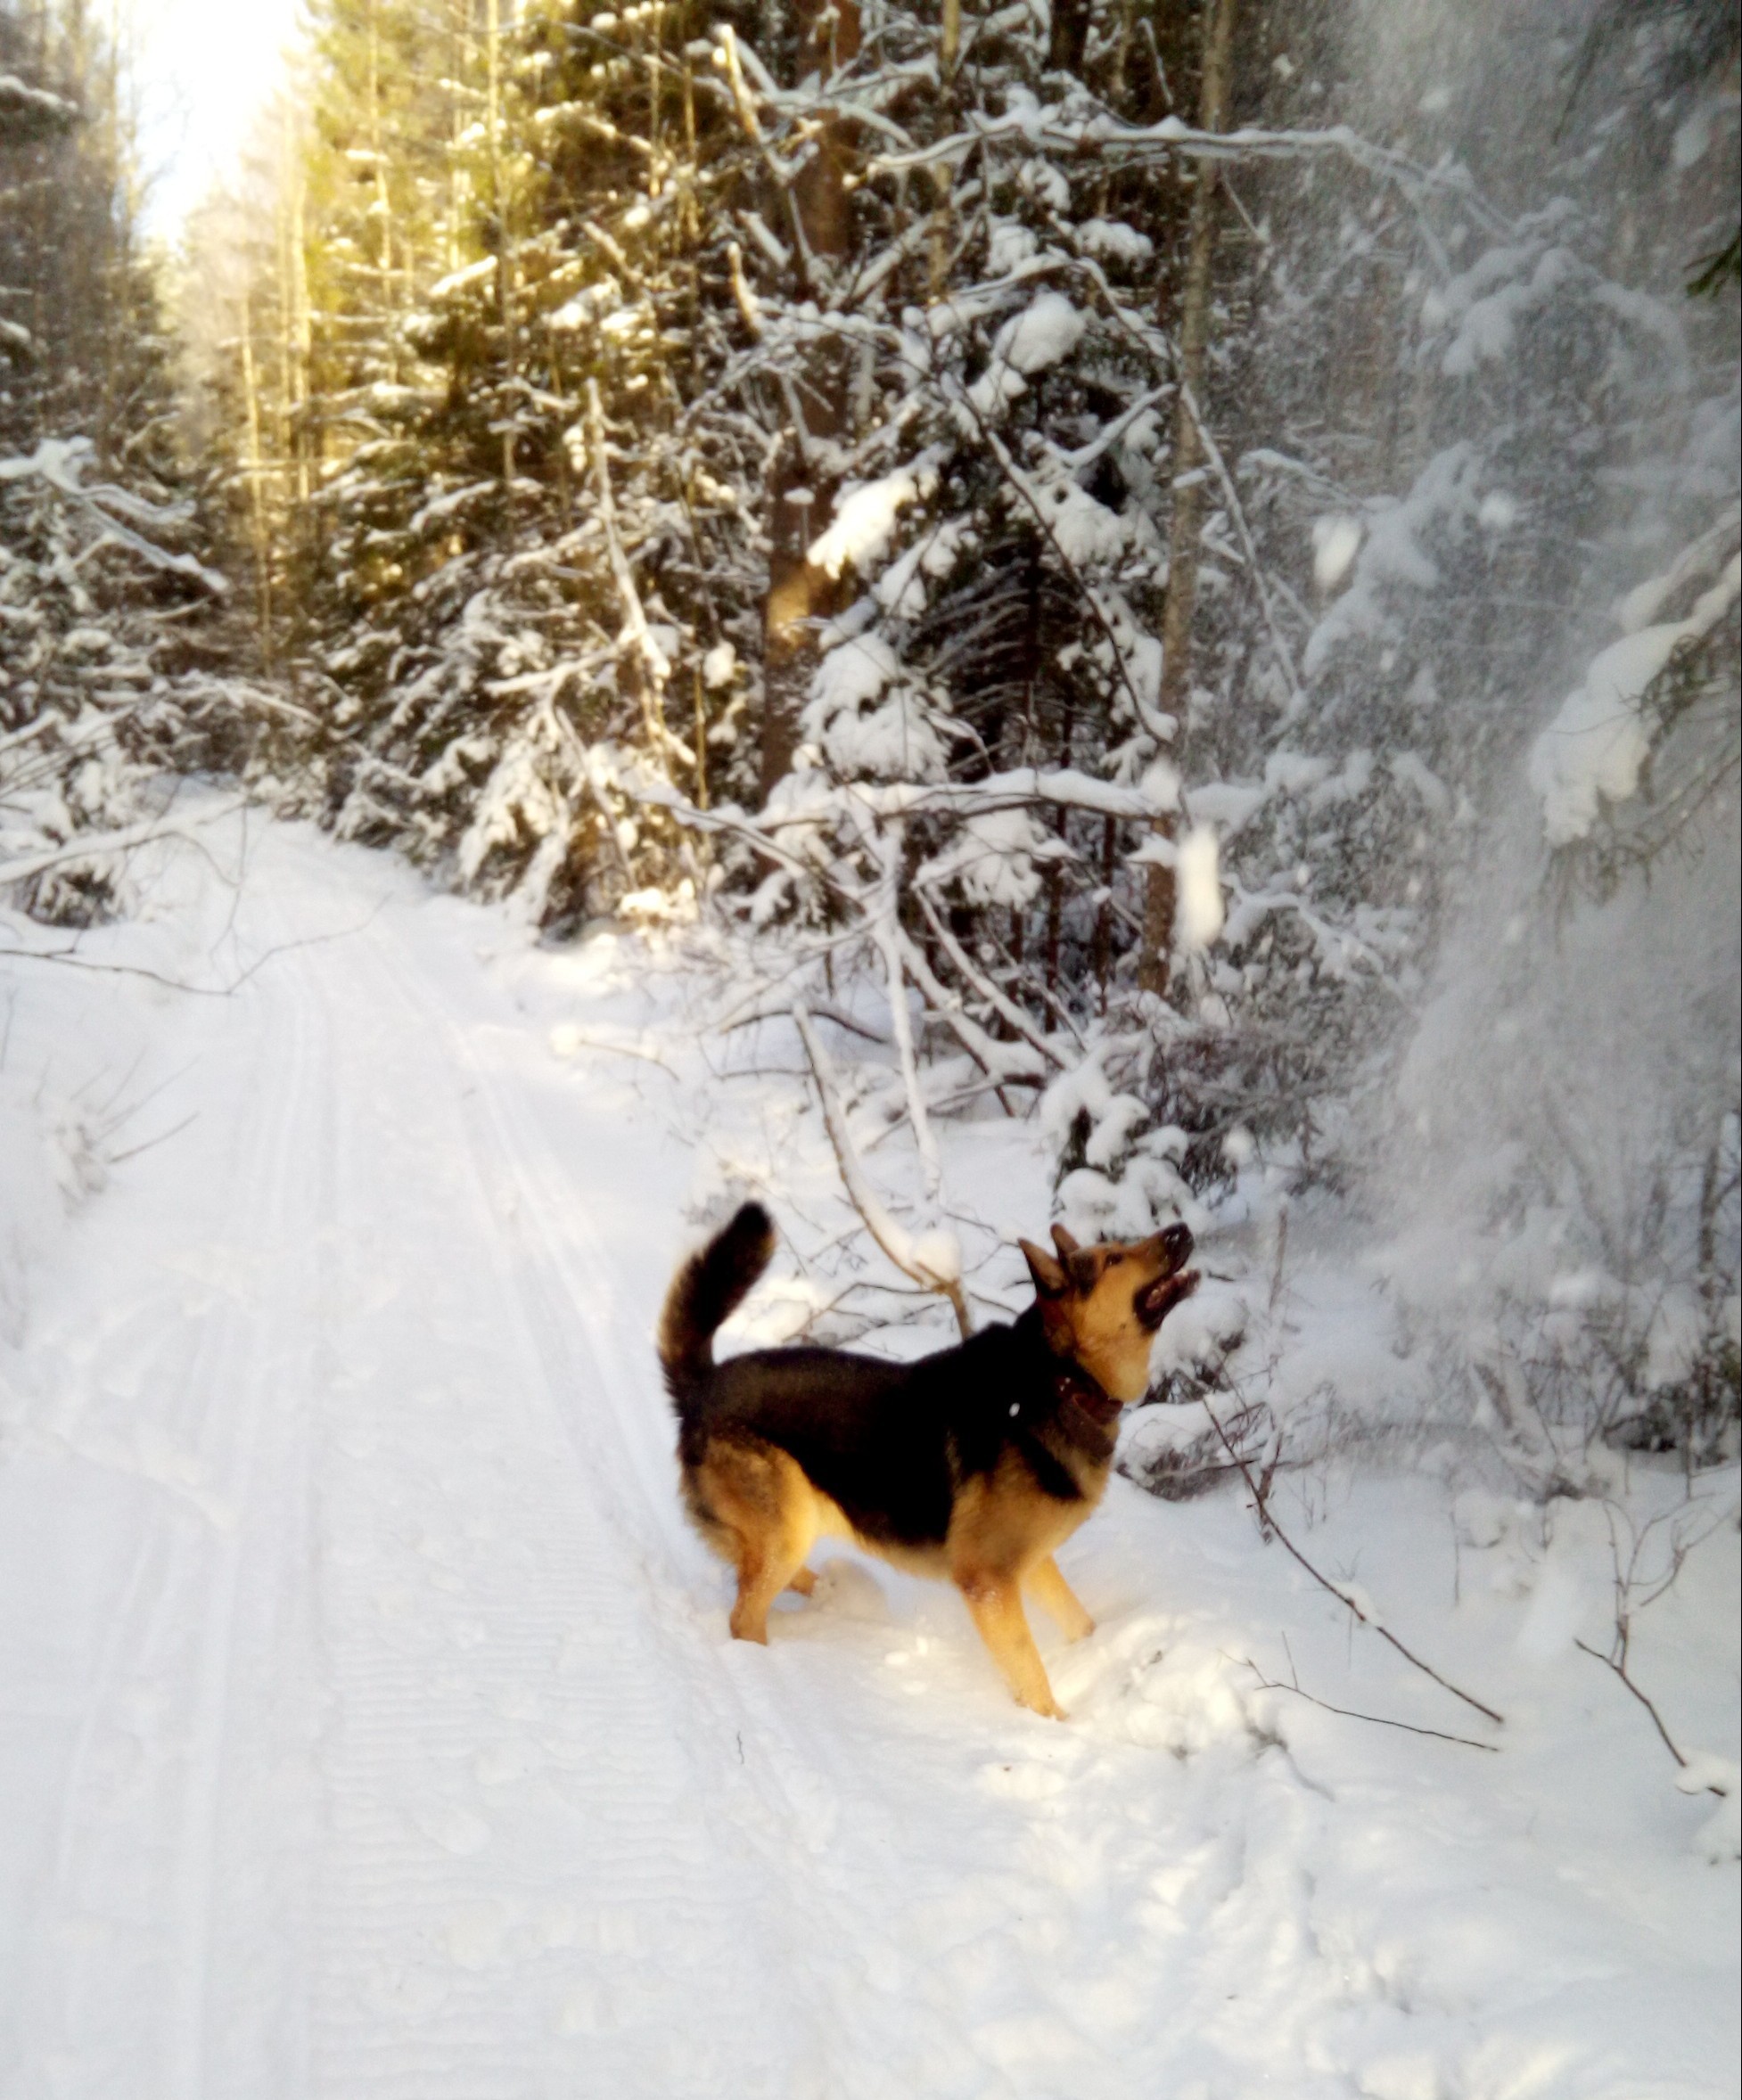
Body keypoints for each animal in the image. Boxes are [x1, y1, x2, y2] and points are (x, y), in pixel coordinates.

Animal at [658, 1204, 1198, 1718]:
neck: (1058, 1380)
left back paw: (840, 1596)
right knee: (744, 1616)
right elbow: (1030, 1672)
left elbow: (1080, 1623)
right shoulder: (988, 1581)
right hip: (786, 1528)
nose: (1182, 1230)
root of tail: (702, 1387)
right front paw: (1058, 1729)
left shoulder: (1030, 1563)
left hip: (792, 1528)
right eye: (1114, 1260)